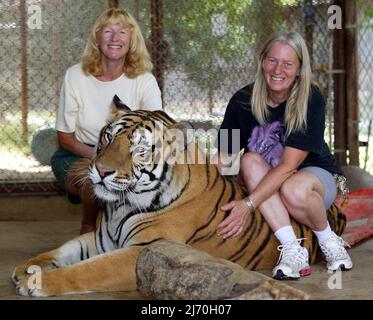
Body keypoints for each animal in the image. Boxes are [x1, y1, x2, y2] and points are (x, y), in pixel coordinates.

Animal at [12, 95, 346, 298]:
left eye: (139, 149)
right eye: (108, 137)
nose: (102, 171)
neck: (121, 205)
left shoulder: (142, 251)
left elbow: (87, 269)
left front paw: (36, 281)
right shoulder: (100, 239)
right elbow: (62, 251)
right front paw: (26, 267)